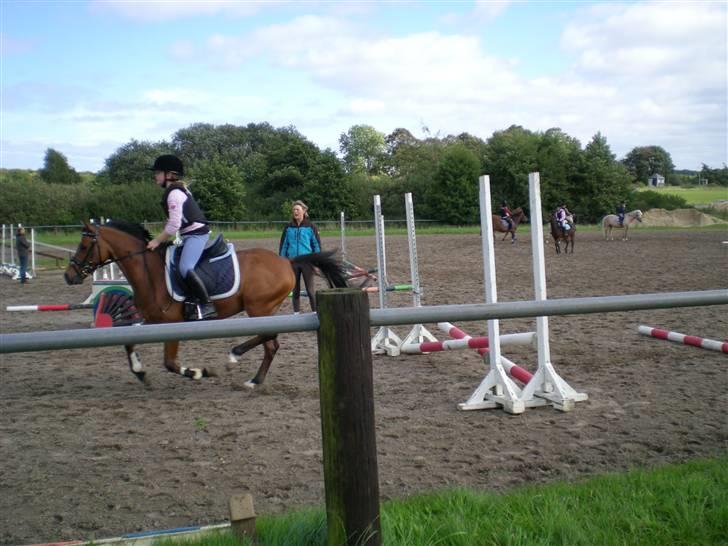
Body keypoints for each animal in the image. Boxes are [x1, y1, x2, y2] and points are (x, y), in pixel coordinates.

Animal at [64, 219, 348, 384]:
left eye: (83, 245)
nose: (69, 275)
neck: (149, 271)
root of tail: (287, 261)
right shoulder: (150, 321)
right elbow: (128, 343)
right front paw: (139, 371)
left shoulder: (172, 325)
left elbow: (170, 363)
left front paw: (200, 372)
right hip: (261, 310)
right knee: (271, 343)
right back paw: (254, 378)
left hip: (259, 308)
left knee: (270, 339)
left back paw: (237, 358)